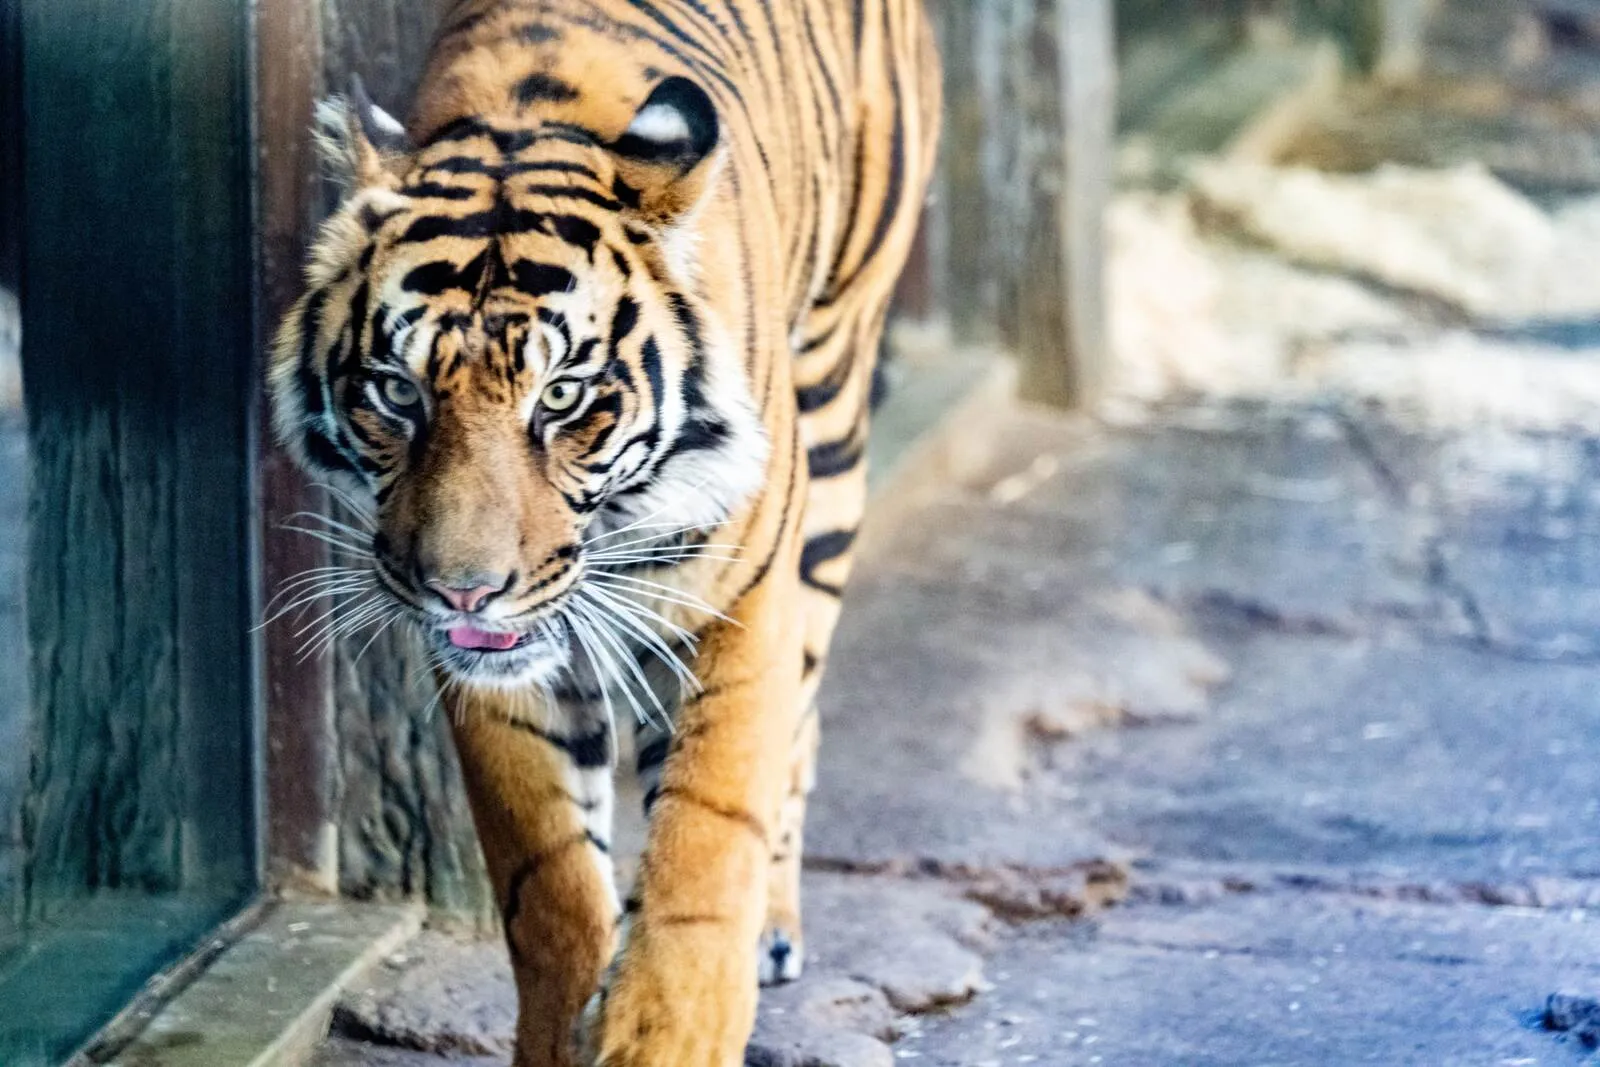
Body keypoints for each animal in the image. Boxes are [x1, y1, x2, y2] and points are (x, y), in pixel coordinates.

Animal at [268, 0, 939, 1063]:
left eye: (563, 396)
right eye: (398, 392)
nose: (461, 587)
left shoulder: (739, 601)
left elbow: (705, 851)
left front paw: (668, 1027)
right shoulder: (497, 669)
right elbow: (551, 885)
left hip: (836, 401)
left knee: (803, 712)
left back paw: (775, 924)